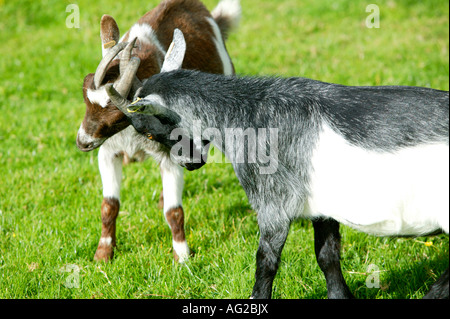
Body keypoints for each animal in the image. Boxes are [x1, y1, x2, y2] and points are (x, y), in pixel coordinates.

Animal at [75, 0, 241, 264]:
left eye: (118, 116)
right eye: (86, 98)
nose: (82, 142)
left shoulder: (172, 154)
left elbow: (174, 211)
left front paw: (182, 257)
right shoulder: (108, 151)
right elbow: (109, 205)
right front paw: (103, 253)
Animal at [106, 31, 450, 298]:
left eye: (148, 130)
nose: (189, 163)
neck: (250, 112)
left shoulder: (273, 205)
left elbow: (266, 263)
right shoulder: (322, 209)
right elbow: (327, 256)